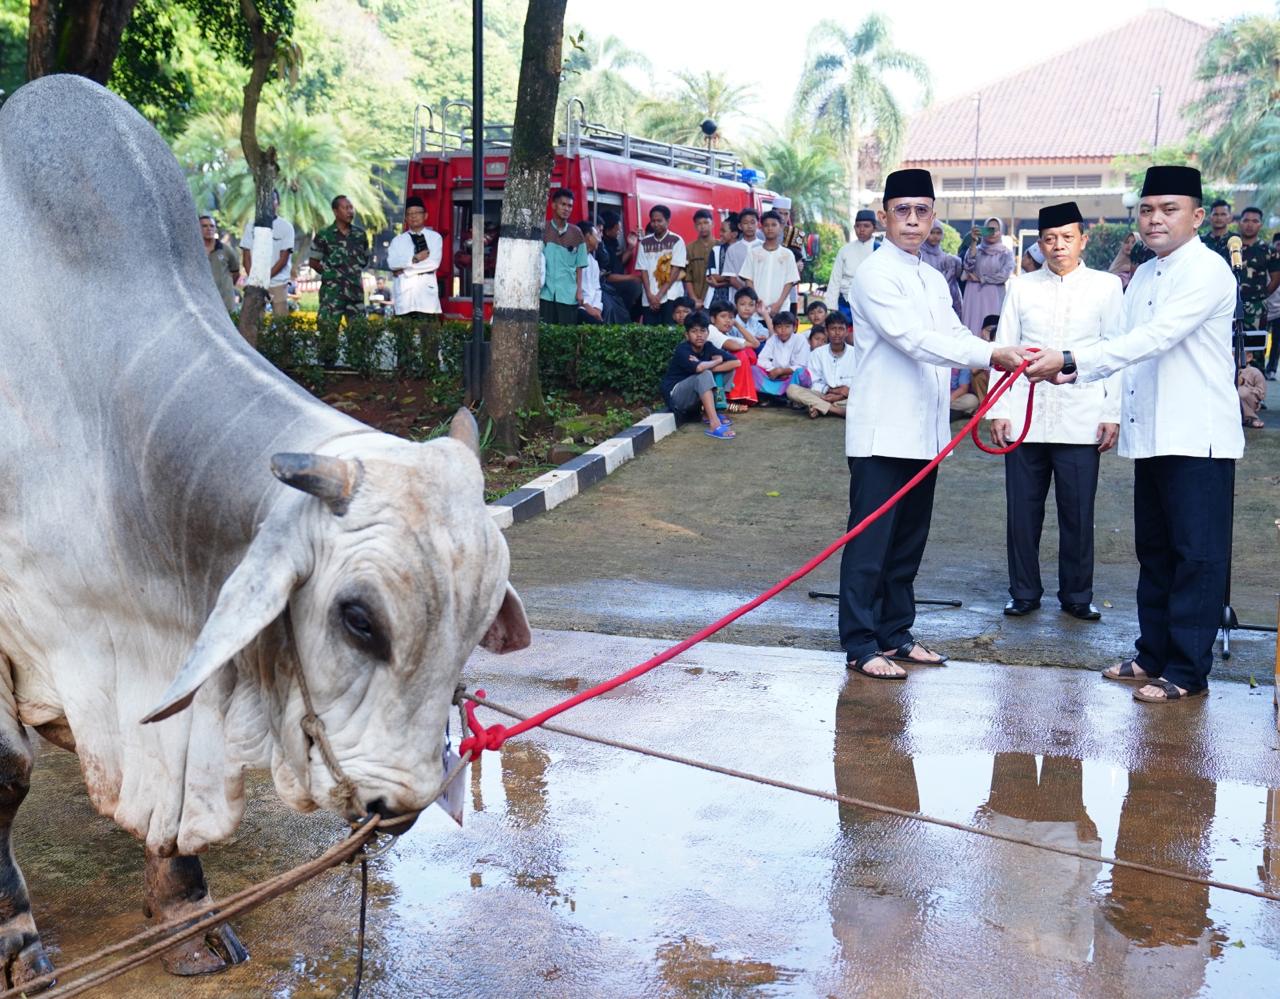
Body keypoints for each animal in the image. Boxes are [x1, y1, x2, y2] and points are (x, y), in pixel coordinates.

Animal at [0, 74, 529, 988]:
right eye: (358, 618)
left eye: (475, 627)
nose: (399, 804)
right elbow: (8, 772)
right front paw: (19, 946)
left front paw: (187, 912)